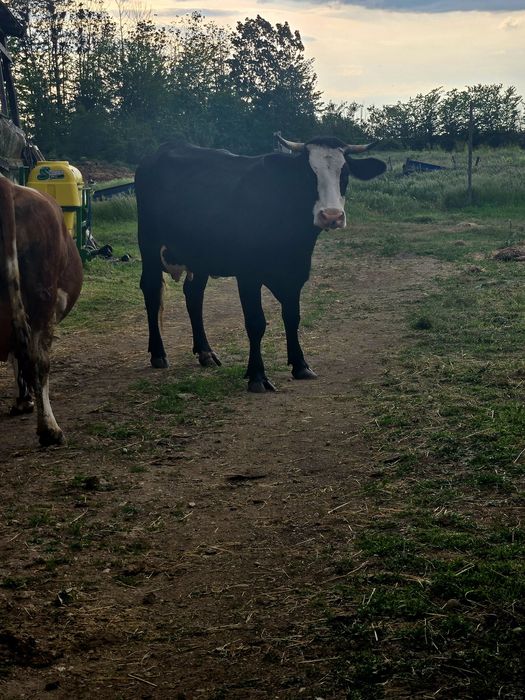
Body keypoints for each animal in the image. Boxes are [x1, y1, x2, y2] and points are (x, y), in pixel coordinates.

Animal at [135, 135, 386, 392]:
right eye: (308, 174)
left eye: (344, 174)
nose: (332, 216)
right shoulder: (248, 275)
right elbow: (256, 323)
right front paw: (257, 375)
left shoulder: (295, 274)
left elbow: (292, 317)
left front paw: (300, 365)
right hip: (149, 244)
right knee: (151, 291)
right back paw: (158, 354)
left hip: (200, 254)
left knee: (194, 295)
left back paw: (205, 352)